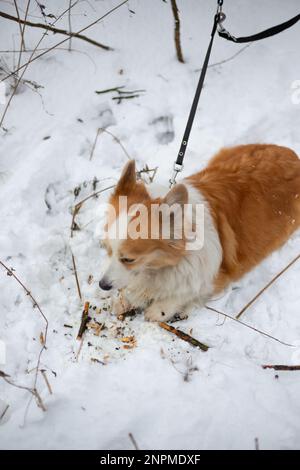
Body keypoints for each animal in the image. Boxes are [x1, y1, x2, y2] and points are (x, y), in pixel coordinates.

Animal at [100, 145, 300, 322]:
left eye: (128, 259)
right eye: (108, 250)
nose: (103, 285)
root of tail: (292, 155)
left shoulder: (214, 278)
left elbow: (187, 292)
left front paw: (160, 309)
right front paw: (124, 299)